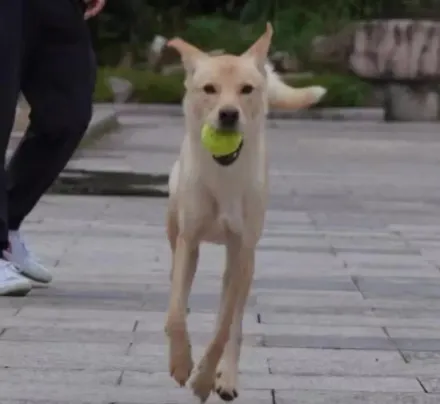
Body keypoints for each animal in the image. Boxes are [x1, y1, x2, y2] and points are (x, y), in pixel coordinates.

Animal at [165, 23, 326, 402]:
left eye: (246, 90)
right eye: (209, 89)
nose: (228, 114)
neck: (223, 176)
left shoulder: (240, 250)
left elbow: (224, 327)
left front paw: (205, 378)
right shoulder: (188, 239)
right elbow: (176, 309)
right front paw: (180, 362)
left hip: (246, 261)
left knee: (235, 317)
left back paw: (226, 378)